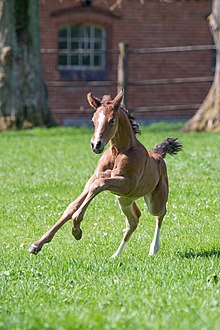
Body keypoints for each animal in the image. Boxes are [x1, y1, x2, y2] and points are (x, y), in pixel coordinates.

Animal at [28, 89, 181, 258]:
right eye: (93, 120)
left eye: (112, 120)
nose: (96, 145)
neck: (118, 152)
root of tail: (159, 155)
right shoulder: (95, 178)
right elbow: (73, 205)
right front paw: (38, 244)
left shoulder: (127, 184)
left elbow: (99, 184)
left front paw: (76, 229)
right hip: (124, 200)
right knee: (134, 220)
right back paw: (116, 255)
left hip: (154, 200)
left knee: (161, 213)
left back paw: (154, 248)